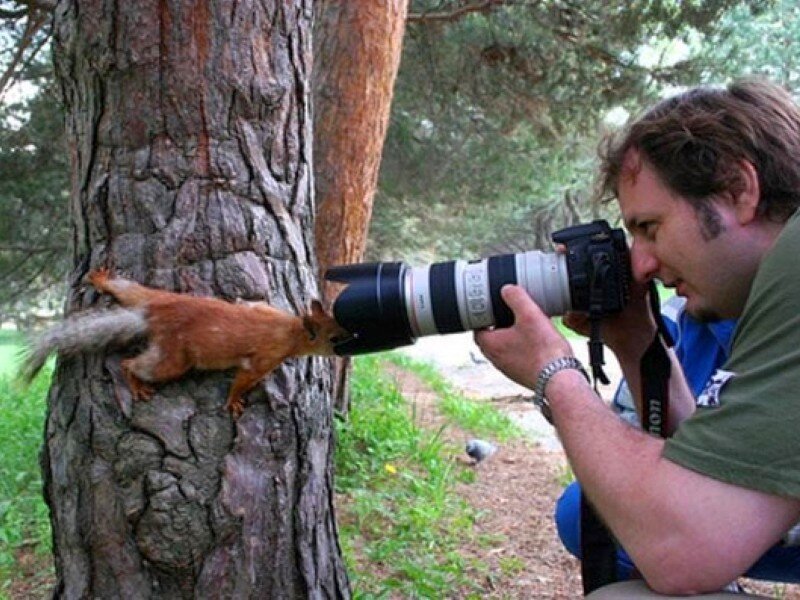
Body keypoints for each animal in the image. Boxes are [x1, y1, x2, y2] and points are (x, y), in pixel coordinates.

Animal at [22, 268, 351, 417]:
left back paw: (102, 279)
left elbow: (249, 303)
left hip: (149, 294)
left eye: (340, 320)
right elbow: (243, 378)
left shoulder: (266, 309)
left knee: (127, 289)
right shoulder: (265, 357)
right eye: (334, 338)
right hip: (173, 359)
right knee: (132, 364)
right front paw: (233, 401)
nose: (352, 341)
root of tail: (150, 315)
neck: (291, 328)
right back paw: (136, 385)